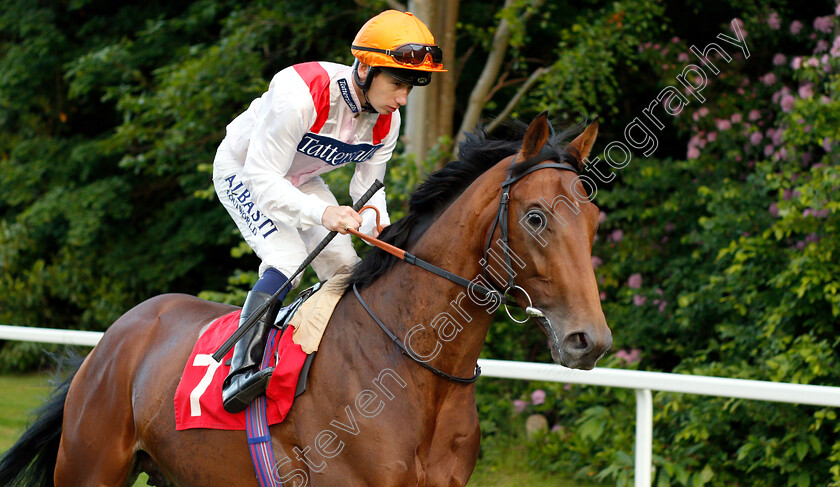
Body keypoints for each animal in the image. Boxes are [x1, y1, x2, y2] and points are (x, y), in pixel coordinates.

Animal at [0, 112, 608, 486]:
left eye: (596, 219)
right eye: (536, 218)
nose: (590, 340)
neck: (416, 371)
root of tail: (116, 337)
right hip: (89, 466)